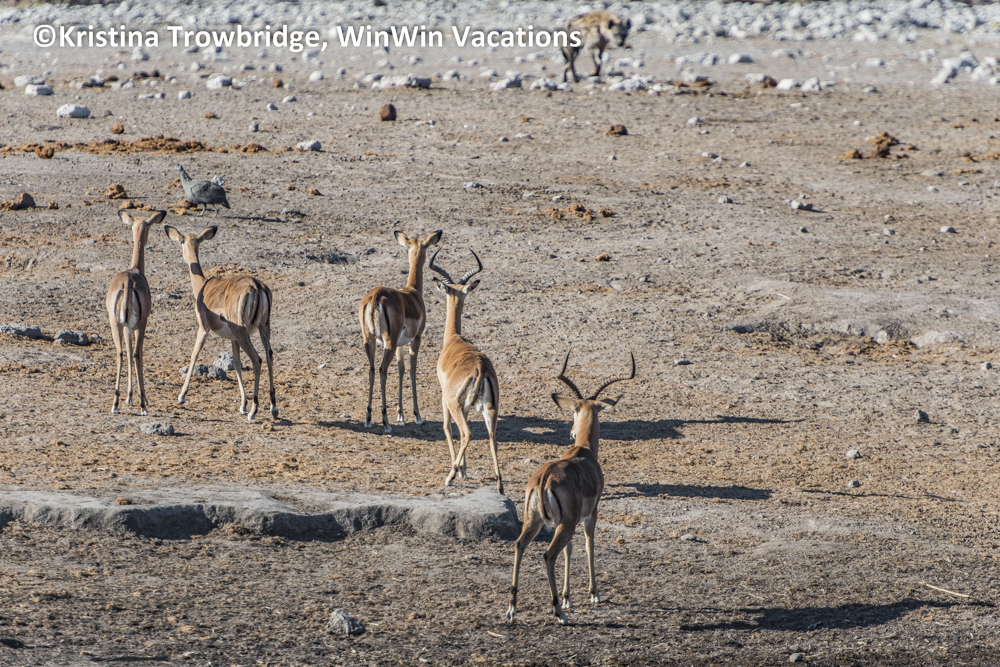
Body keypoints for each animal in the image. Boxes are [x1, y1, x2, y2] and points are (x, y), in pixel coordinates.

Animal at [105, 209, 166, 416]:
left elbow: (128, 352)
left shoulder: (126, 327)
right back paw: (142, 406)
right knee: (137, 354)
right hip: (139, 325)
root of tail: (128, 281)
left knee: (120, 354)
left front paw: (128, 397)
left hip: (115, 324)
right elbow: (138, 354)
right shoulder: (141, 324)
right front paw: (141, 399)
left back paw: (115, 403)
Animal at [164, 225, 277, 423]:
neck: (203, 287)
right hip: (263, 328)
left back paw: (254, 411)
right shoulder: (233, 338)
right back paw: (273, 408)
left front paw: (181, 396)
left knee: (257, 359)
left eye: (181, 241)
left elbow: (194, 354)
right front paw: (242, 405)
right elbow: (237, 364)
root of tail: (256, 287)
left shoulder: (203, 328)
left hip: (243, 333)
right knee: (269, 356)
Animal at [358, 230, 442, 434]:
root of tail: (375, 298)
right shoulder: (416, 339)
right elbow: (412, 370)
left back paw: (369, 419)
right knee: (382, 370)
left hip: (370, 341)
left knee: (372, 370)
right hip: (388, 342)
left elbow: (401, 369)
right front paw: (417, 416)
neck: (412, 292)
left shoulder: (399, 345)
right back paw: (386, 423)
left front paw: (401, 413)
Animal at [428, 248, 503, 494]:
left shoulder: (445, 398)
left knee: (467, 432)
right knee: (491, 435)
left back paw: (449, 476)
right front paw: (464, 469)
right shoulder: (466, 407)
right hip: (490, 409)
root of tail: (480, 368)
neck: (454, 339)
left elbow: (447, 428)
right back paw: (500, 485)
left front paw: (458, 470)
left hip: (454, 404)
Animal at [506, 349, 635, 625]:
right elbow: (588, 544)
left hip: (535, 521)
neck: (583, 451)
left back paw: (512, 609)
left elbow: (570, 550)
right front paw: (593, 594)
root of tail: (543, 478)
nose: (572, 432)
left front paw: (567, 597)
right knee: (549, 554)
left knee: (520, 545)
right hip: (562, 524)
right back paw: (558, 612)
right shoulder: (591, 513)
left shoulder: (568, 521)